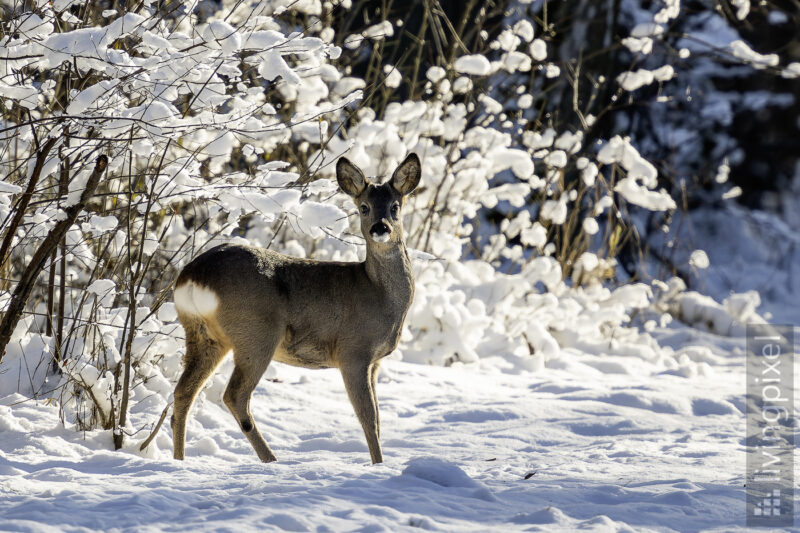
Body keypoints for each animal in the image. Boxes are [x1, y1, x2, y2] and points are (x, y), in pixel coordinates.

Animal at [170, 153, 421, 464]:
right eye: (364, 207)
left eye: (395, 206)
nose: (380, 228)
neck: (377, 293)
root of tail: (193, 276)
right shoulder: (353, 352)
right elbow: (368, 419)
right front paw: (378, 465)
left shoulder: (374, 362)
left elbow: (377, 418)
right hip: (256, 334)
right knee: (234, 396)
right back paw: (271, 460)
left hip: (203, 335)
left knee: (183, 393)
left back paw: (178, 460)